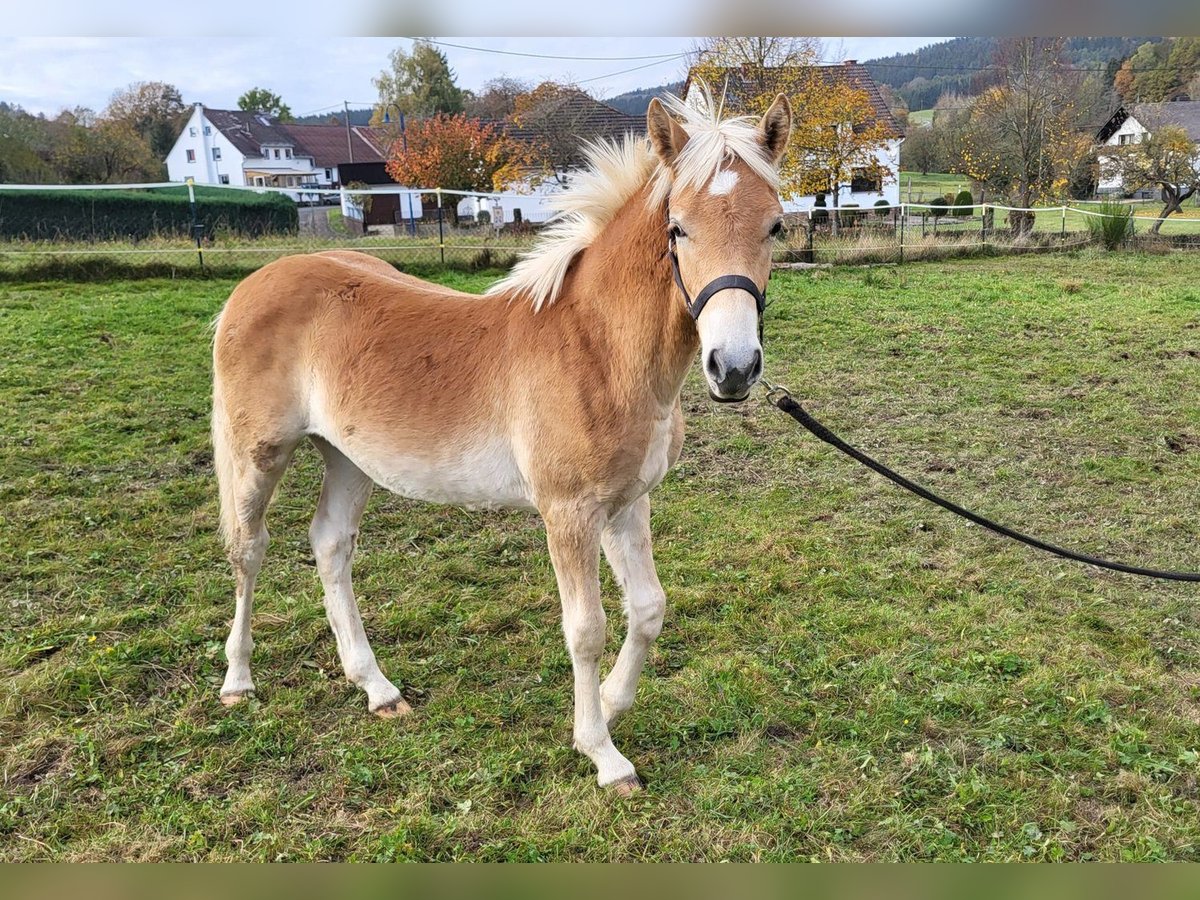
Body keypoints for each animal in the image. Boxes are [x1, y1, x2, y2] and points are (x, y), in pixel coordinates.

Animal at [213, 90, 796, 796]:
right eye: (677, 228)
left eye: (775, 227)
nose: (733, 368)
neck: (598, 349)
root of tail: (254, 284)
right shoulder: (569, 513)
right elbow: (587, 629)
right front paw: (603, 755)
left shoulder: (627, 504)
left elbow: (649, 609)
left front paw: (608, 703)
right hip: (258, 454)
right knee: (248, 551)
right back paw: (238, 680)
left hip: (349, 459)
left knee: (329, 544)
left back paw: (377, 688)